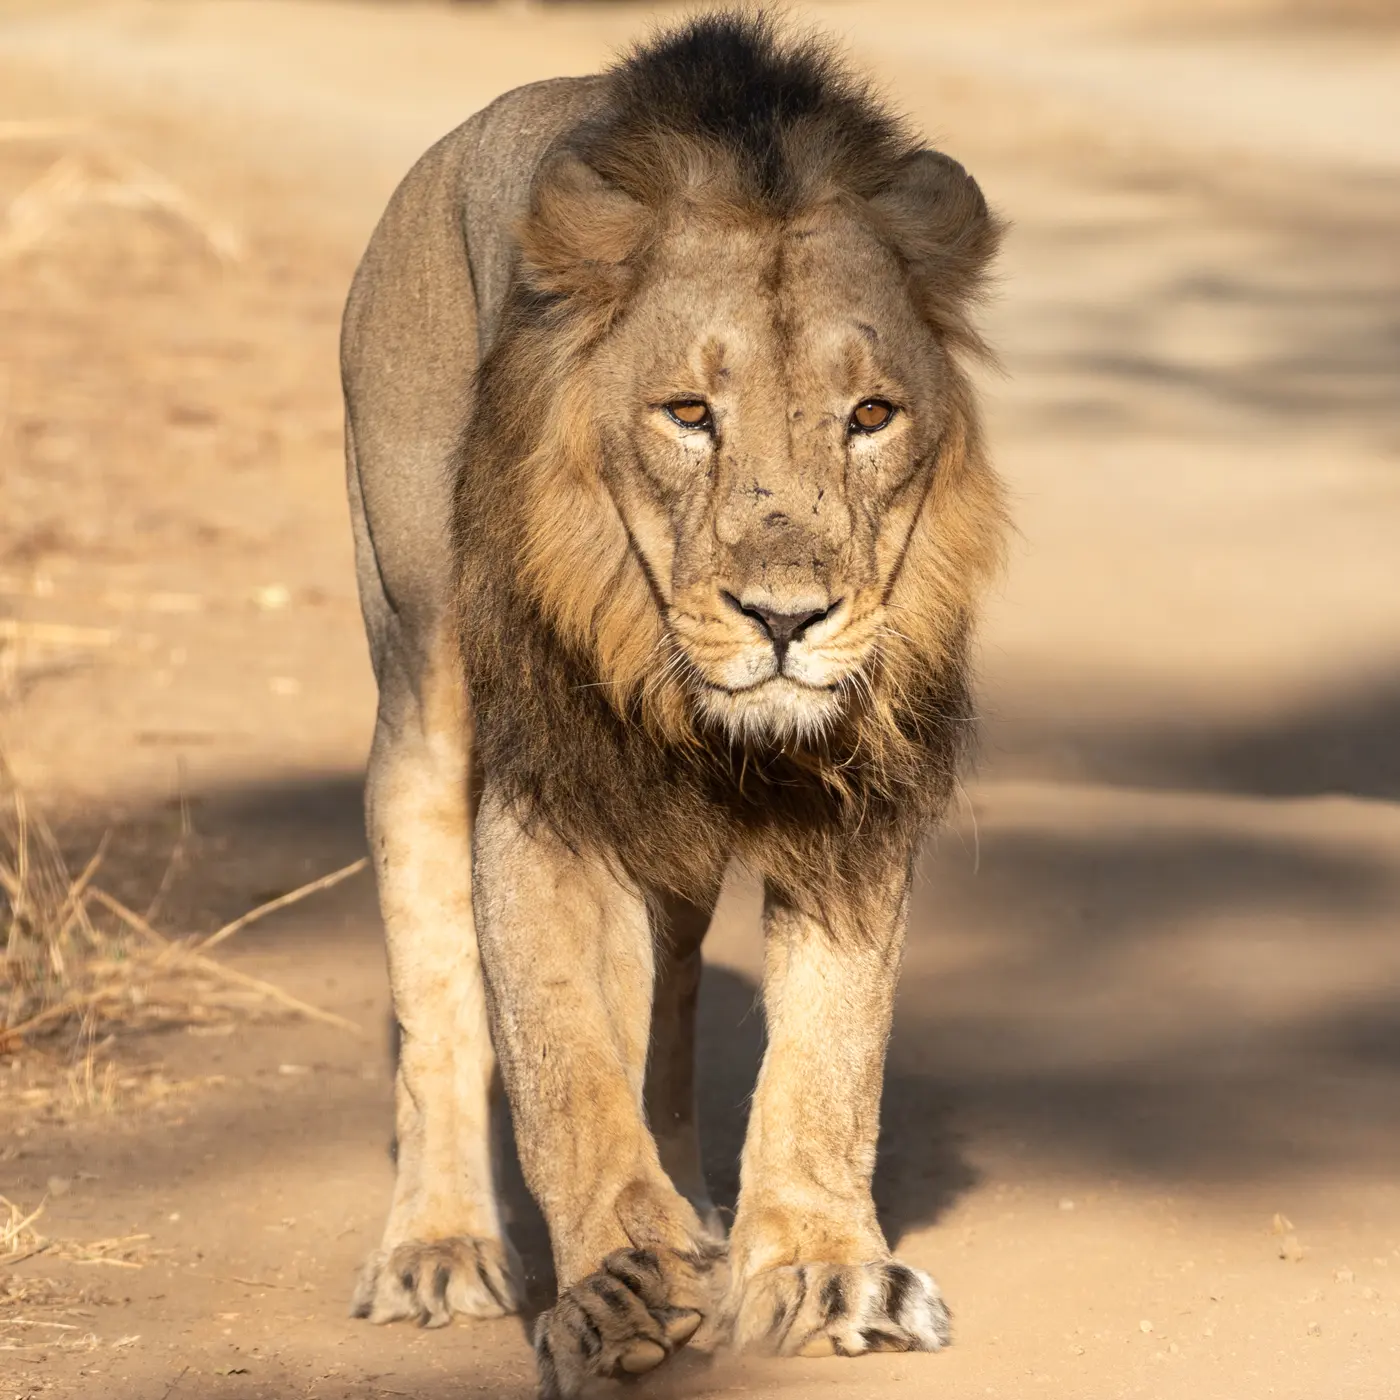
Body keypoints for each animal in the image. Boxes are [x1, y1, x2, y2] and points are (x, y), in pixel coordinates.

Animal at [341, 12, 1006, 1397]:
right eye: (688, 414)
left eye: (870, 414)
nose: (786, 619)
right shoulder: (543, 787)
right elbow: (558, 1057)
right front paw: (616, 1292)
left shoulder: (852, 804)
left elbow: (829, 1054)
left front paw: (817, 1267)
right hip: (418, 675)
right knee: (436, 974)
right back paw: (437, 1243)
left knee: (674, 996)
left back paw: (696, 1211)